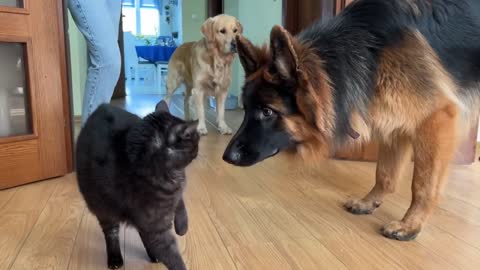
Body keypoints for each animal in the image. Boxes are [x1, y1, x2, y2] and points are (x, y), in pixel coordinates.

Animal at [76, 102, 200, 270]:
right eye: (195, 140)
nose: (198, 151)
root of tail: (101, 108)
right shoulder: (156, 227)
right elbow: (172, 257)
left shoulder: (175, 192)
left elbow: (180, 201)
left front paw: (182, 227)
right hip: (102, 207)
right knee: (111, 232)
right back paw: (115, 258)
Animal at [222, 0, 480, 240]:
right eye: (246, 109)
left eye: (267, 112)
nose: (226, 157)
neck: (370, 49)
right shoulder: (395, 121)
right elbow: (384, 173)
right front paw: (370, 201)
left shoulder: (435, 119)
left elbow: (423, 184)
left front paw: (411, 224)